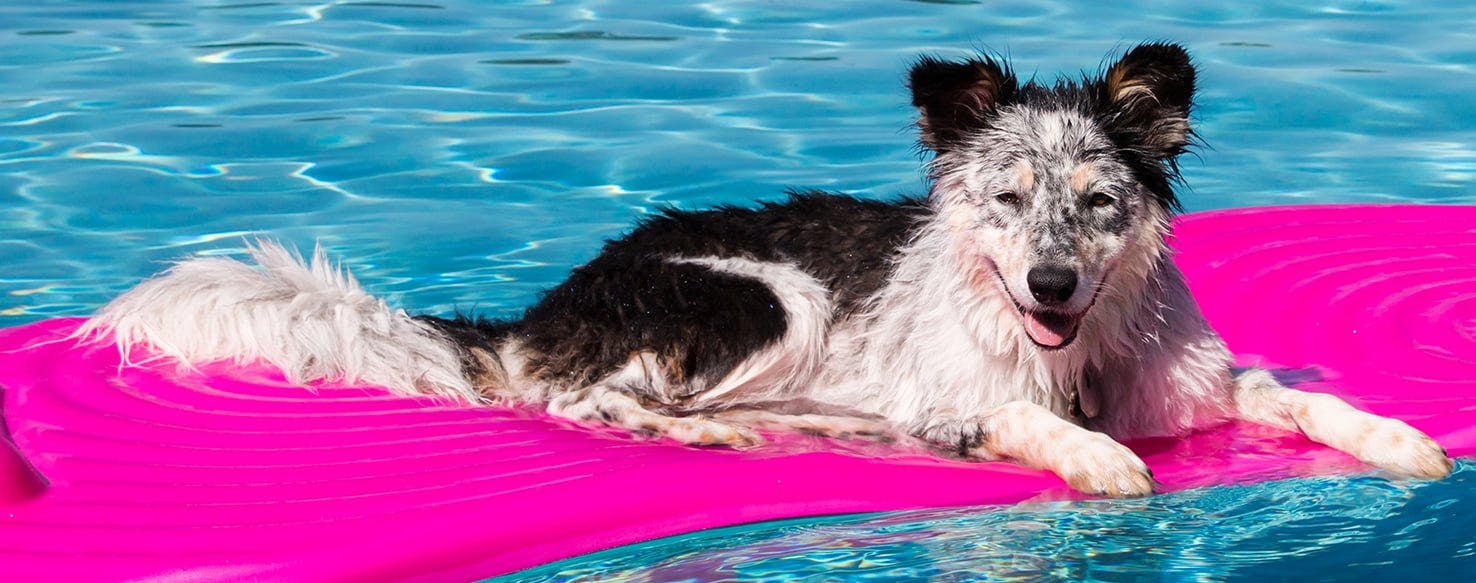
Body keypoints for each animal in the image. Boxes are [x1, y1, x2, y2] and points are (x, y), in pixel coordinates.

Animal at [80, 42, 1452, 498]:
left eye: (1098, 204)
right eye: (1006, 201)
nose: (1053, 288)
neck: (1076, 354)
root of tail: (545, 307)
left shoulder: (1198, 383)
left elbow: (1303, 398)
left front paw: (1398, 438)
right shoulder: (952, 399)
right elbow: (1025, 420)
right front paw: (1097, 457)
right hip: (760, 295)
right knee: (584, 401)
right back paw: (717, 432)